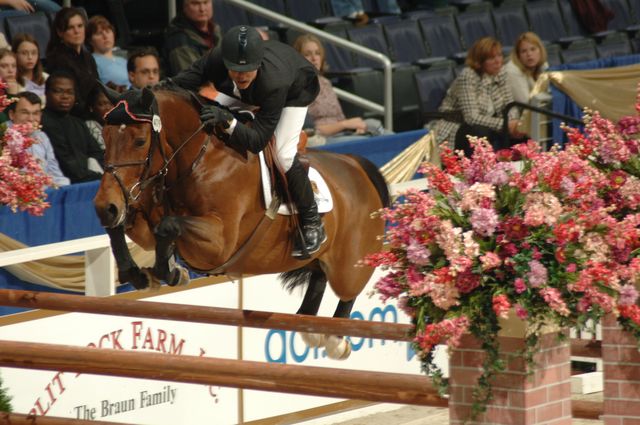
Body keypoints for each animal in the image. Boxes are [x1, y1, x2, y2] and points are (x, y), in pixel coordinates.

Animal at [92, 86, 388, 358]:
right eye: (105, 137)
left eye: (140, 141)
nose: (104, 207)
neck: (197, 161)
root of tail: (357, 166)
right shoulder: (145, 220)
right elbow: (127, 227)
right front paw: (139, 273)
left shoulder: (219, 244)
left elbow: (169, 225)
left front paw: (170, 271)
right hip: (320, 259)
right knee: (319, 275)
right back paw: (311, 327)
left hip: (349, 265)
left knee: (348, 287)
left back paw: (335, 340)